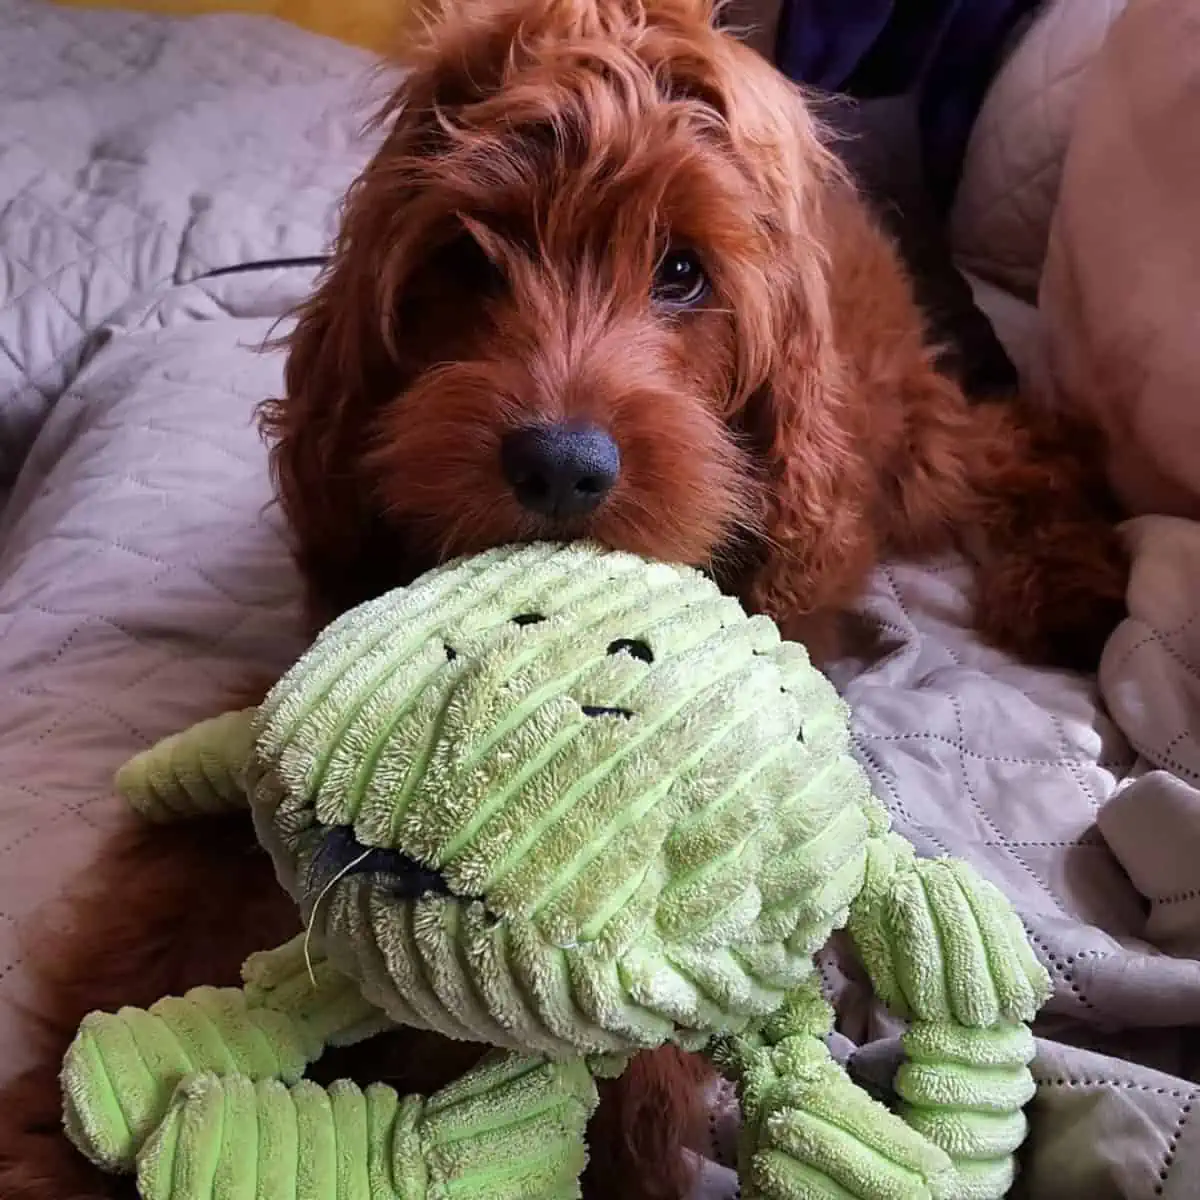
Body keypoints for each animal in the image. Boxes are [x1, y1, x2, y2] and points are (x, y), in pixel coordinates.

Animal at [0, 2, 1123, 1200]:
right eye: (467, 260)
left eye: (682, 271)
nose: (560, 467)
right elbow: (182, 883)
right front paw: (60, 1136)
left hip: (900, 437)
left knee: (1019, 442)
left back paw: (1076, 587)